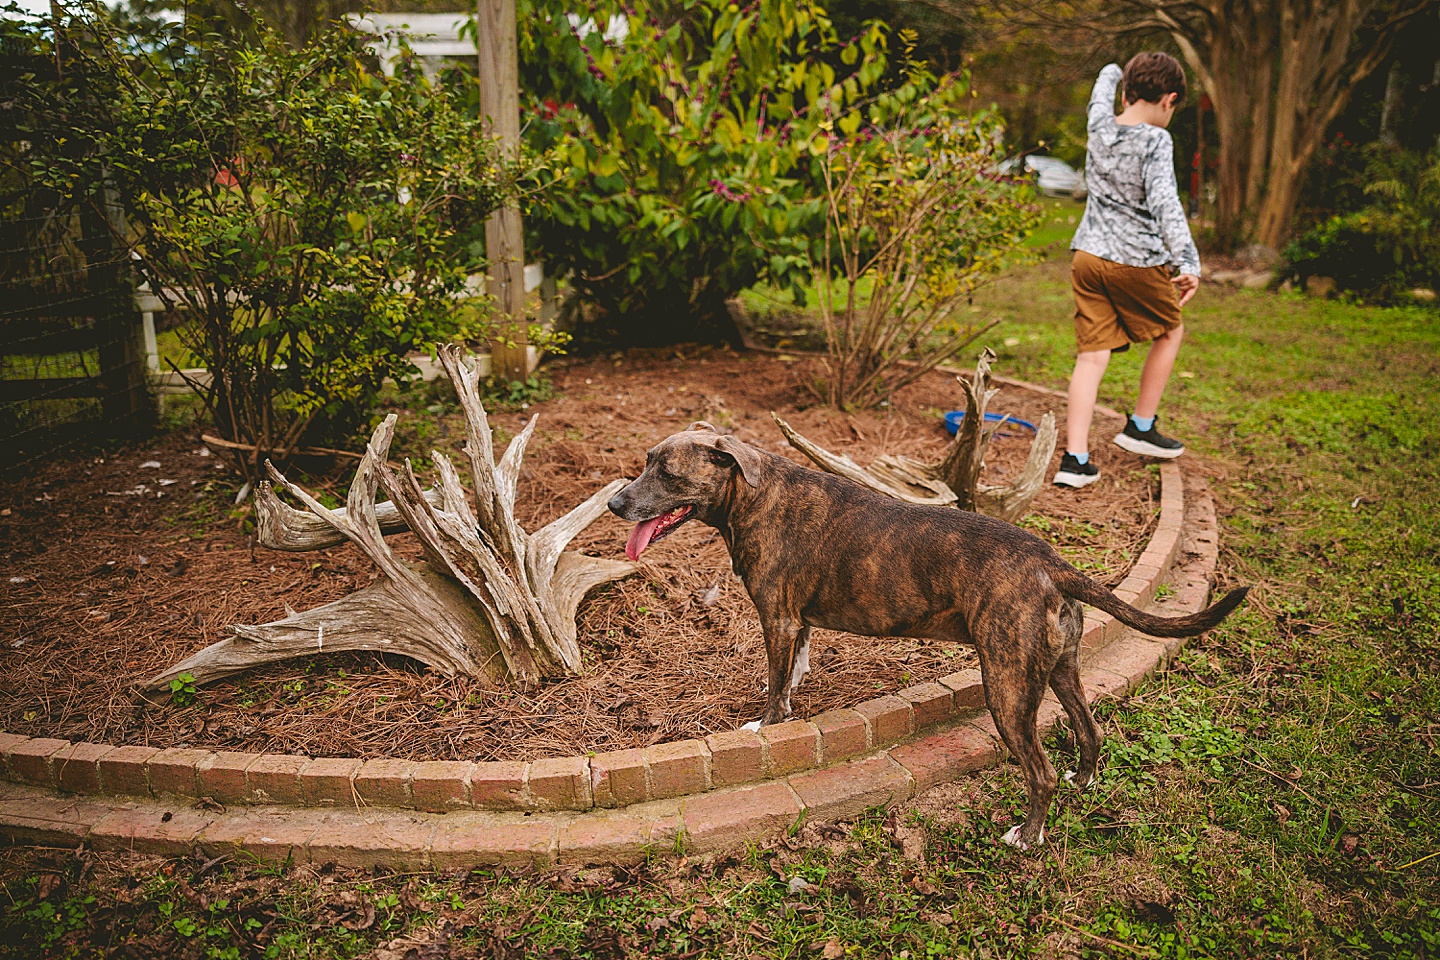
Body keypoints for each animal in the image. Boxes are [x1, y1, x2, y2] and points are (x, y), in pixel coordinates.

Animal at [607, 420, 1249, 846]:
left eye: (668, 473)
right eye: (645, 460)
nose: (614, 504)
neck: (753, 491)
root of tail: (1050, 561)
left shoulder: (779, 619)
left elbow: (773, 688)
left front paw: (765, 726)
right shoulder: (799, 624)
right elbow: (794, 672)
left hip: (1007, 688)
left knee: (1039, 771)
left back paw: (1027, 837)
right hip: (1061, 670)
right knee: (1089, 731)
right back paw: (1085, 781)